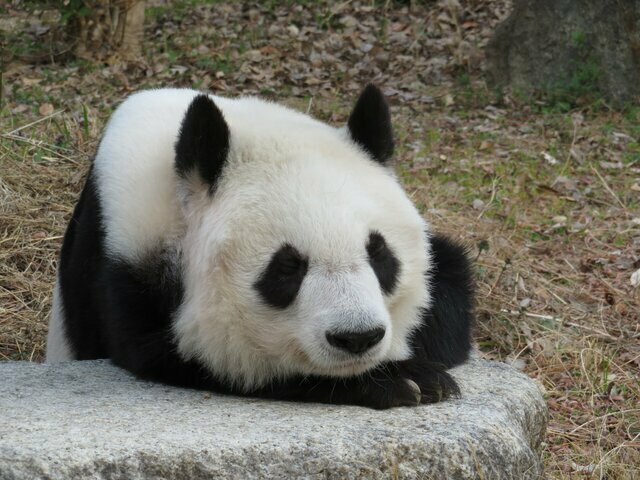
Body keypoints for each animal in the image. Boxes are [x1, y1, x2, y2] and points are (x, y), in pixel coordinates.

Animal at [46, 84, 476, 406]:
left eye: (379, 254)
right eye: (288, 266)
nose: (357, 337)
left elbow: (451, 291)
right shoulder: (121, 247)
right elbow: (190, 352)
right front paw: (398, 381)